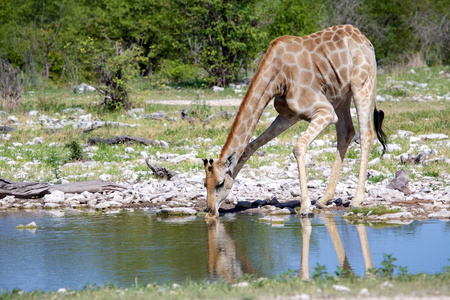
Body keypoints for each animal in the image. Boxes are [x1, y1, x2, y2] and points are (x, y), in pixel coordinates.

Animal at [204, 24, 386, 219]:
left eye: (220, 183)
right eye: (204, 183)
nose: (210, 212)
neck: (278, 76)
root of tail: (367, 42)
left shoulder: (325, 111)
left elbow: (298, 147)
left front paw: (305, 207)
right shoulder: (288, 115)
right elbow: (249, 147)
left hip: (361, 85)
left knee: (366, 133)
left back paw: (356, 200)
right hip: (340, 95)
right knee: (346, 132)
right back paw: (323, 199)